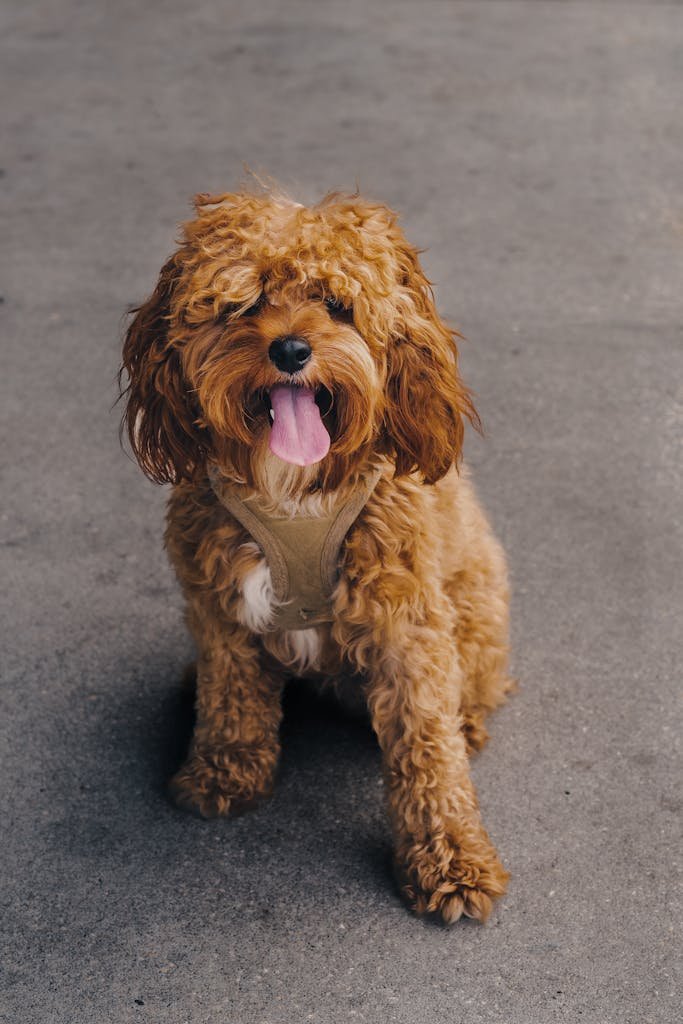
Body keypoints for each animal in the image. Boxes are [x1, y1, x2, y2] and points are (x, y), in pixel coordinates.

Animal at [120, 188, 511, 925]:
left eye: (336, 304)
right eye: (243, 304)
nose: (292, 348)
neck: (293, 491)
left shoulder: (407, 626)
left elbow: (428, 752)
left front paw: (451, 862)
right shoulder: (218, 606)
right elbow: (232, 694)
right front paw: (223, 770)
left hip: (475, 608)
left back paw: (470, 717)